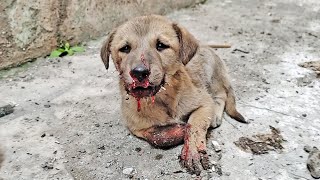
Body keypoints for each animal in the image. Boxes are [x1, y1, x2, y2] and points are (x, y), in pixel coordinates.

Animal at [101, 14, 246, 175]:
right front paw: (178, 131)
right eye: (125, 48)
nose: (139, 72)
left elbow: (195, 125)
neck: (163, 98)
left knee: (221, 94)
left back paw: (215, 114)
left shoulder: (204, 102)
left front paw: (193, 149)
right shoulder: (135, 127)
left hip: (211, 74)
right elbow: (157, 136)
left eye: (161, 45)